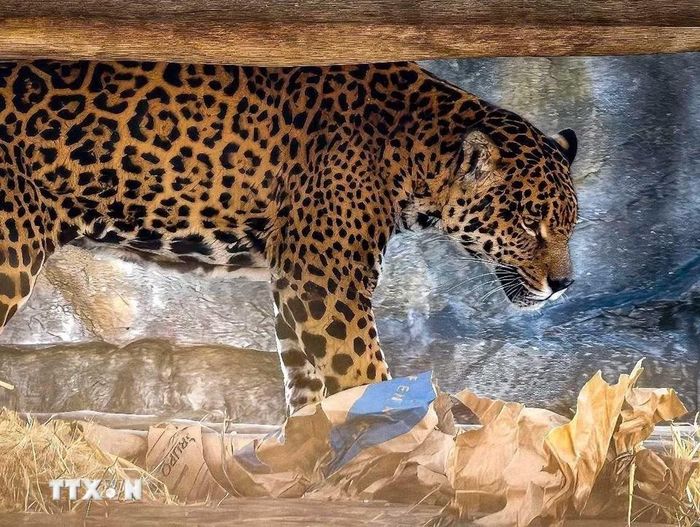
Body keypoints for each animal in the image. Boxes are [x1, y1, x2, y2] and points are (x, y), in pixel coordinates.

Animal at [0, 60, 578, 413]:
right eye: (529, 223)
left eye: (570, 225)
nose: (564, 285)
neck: (411, 153)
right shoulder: (327, 284)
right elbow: (364, 375)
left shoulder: (293, 281)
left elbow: (307, 387)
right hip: (11, 248)